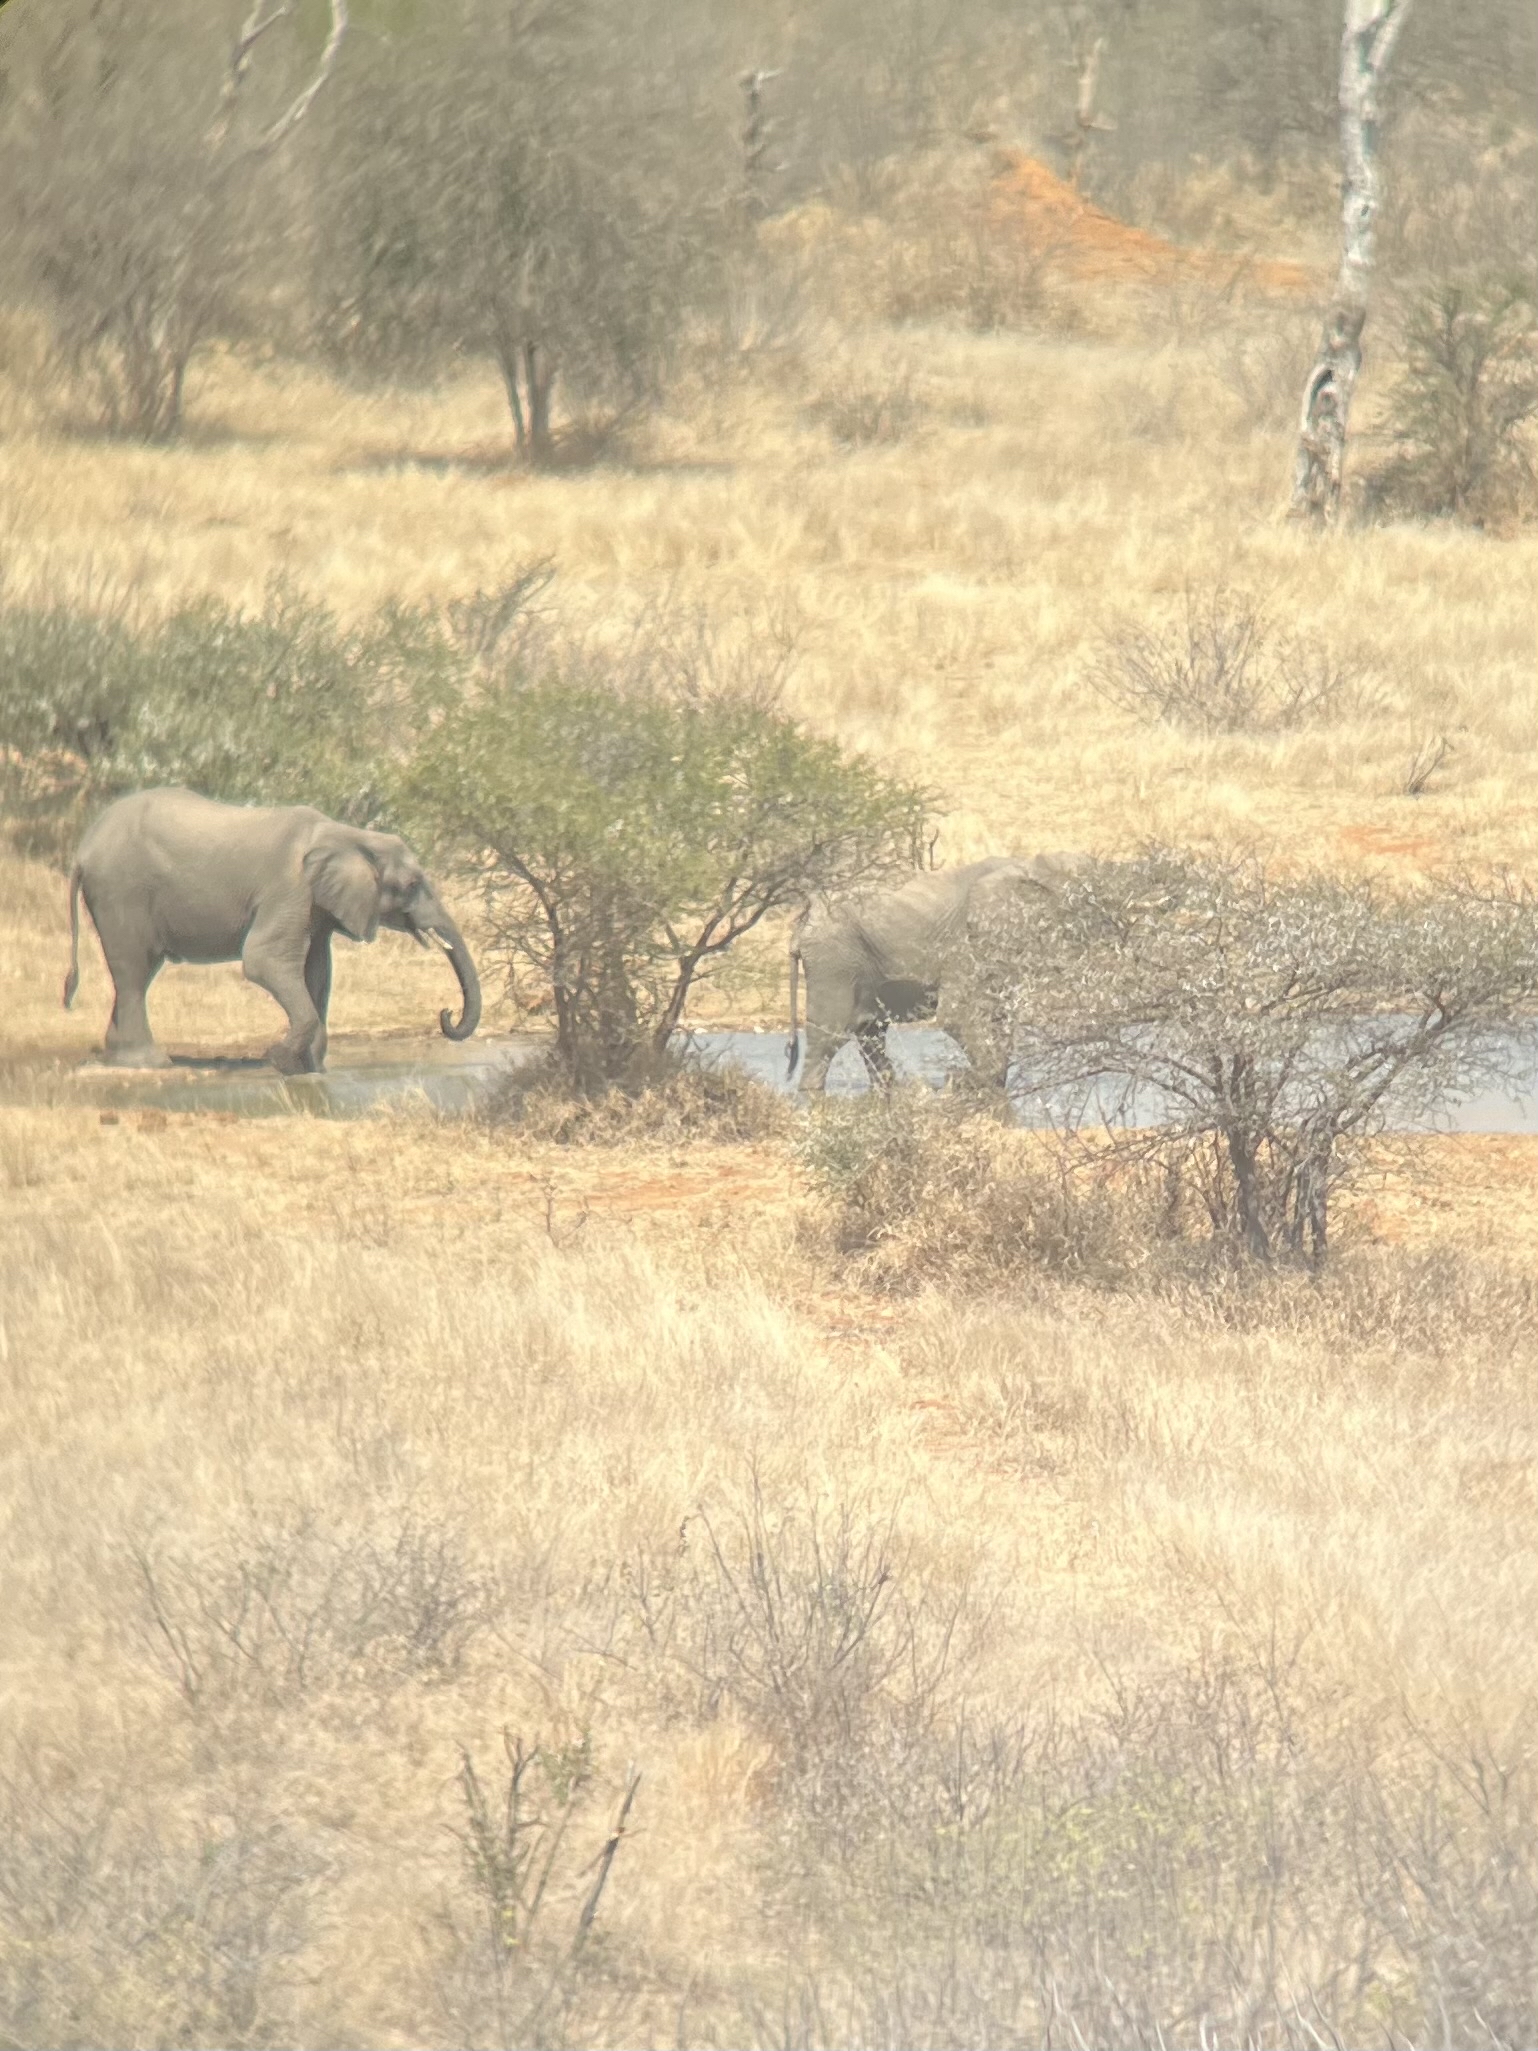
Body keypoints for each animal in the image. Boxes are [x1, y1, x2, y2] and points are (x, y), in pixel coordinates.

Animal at [63, 787, 481, 1072]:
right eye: (411, 884)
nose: (445, 1013)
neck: (347, 834)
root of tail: (83, 849)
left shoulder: (316, 905)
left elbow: (317, 973)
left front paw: (310, 1068)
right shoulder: (289, 888)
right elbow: (265, 961)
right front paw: (278, 1059)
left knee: (137, 972)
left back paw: (120, 1058)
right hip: (121, 890)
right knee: (133, 969)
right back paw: (151, 1063)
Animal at [786, 854, 1087, 1092]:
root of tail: (807, 912)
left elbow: (999, 1018)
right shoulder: (967, 945)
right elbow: (957, 1016)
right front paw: (965, 1084)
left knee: (870, 1031)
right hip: (833, 960)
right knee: (831, 1034)